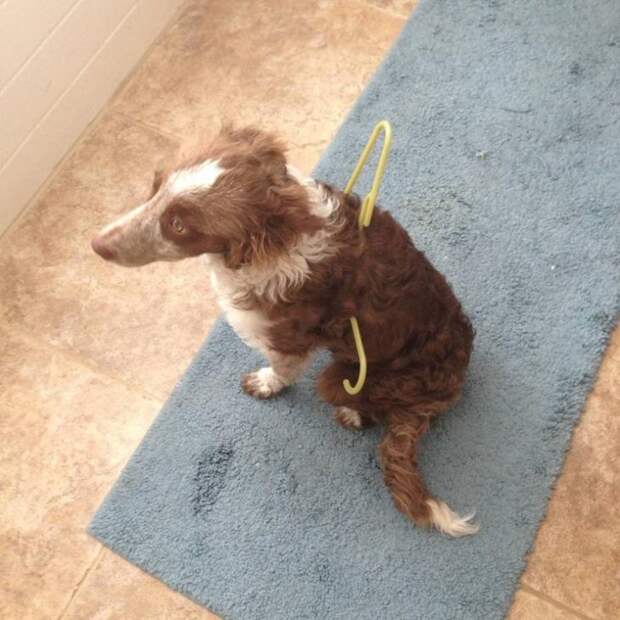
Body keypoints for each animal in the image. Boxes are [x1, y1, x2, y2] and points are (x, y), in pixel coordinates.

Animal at [92, 125, 478, 536]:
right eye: (155, 185)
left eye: (179, 225)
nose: (97, 245)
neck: (273, 236)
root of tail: (449, 386)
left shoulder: (286, 338)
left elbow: (282, 370)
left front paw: (266, 384)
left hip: (341, 377)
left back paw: (353, 414)